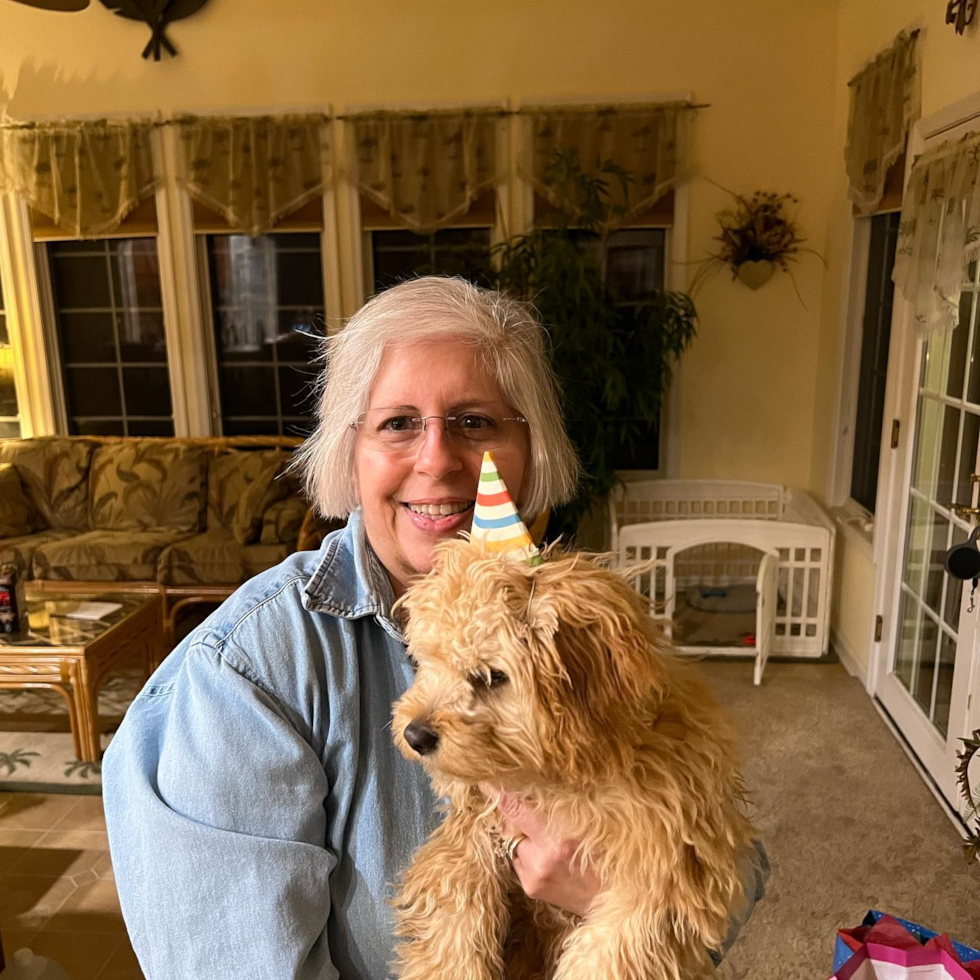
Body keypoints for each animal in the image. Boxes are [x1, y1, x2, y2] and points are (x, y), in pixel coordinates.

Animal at [388, 536, 752, 980]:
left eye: (491, 676)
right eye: (428, 660)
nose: (415, 734)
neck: (556, 779)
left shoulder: (667, 872)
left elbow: (614, 950)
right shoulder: (470, 832)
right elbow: (455, 913)